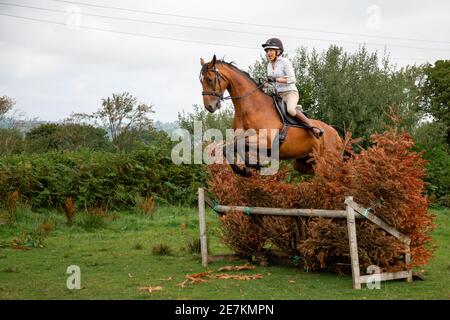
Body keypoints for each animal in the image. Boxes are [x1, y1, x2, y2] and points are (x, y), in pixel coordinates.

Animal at [199, 53, 342, 176]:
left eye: (210, 80)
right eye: (201, 81)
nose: (209, 107)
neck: (250, 108)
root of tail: (334, 132)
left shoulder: (265, 140)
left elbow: (236, 146)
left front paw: (253, 166)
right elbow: (228, 149)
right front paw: (247, 170)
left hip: (327, 161)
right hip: (305, 163)